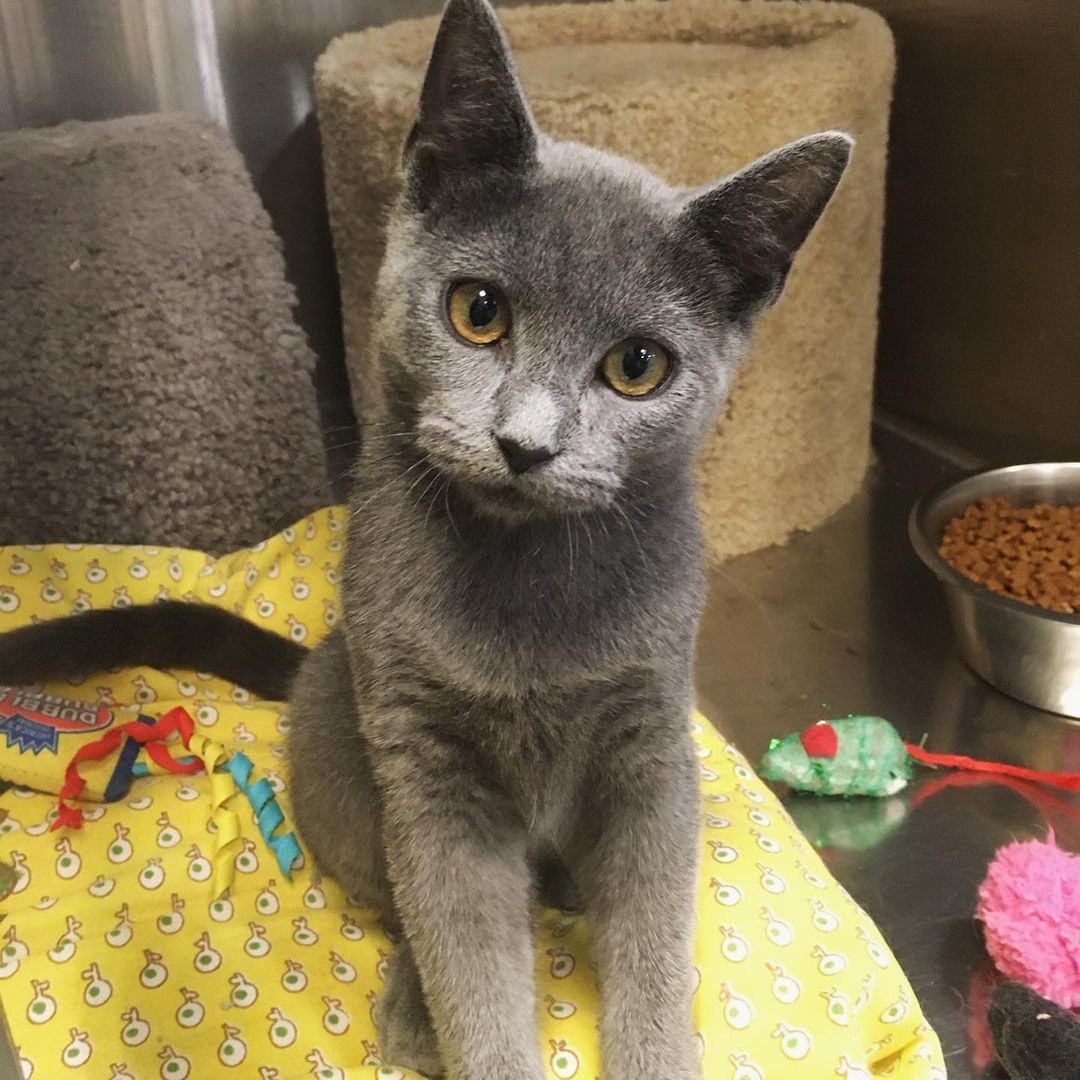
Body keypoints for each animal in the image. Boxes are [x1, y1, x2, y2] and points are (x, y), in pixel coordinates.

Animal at [0, 0, 851, 1075]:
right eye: (477, 311)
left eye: (638, 368)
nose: (526, 443)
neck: (525, 586)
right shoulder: (428, 769)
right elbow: (467, 963)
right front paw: (467, 1024)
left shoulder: (652, 745)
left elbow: (653, 942)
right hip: (345, 743)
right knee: (402, 904)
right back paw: (415, 1004)